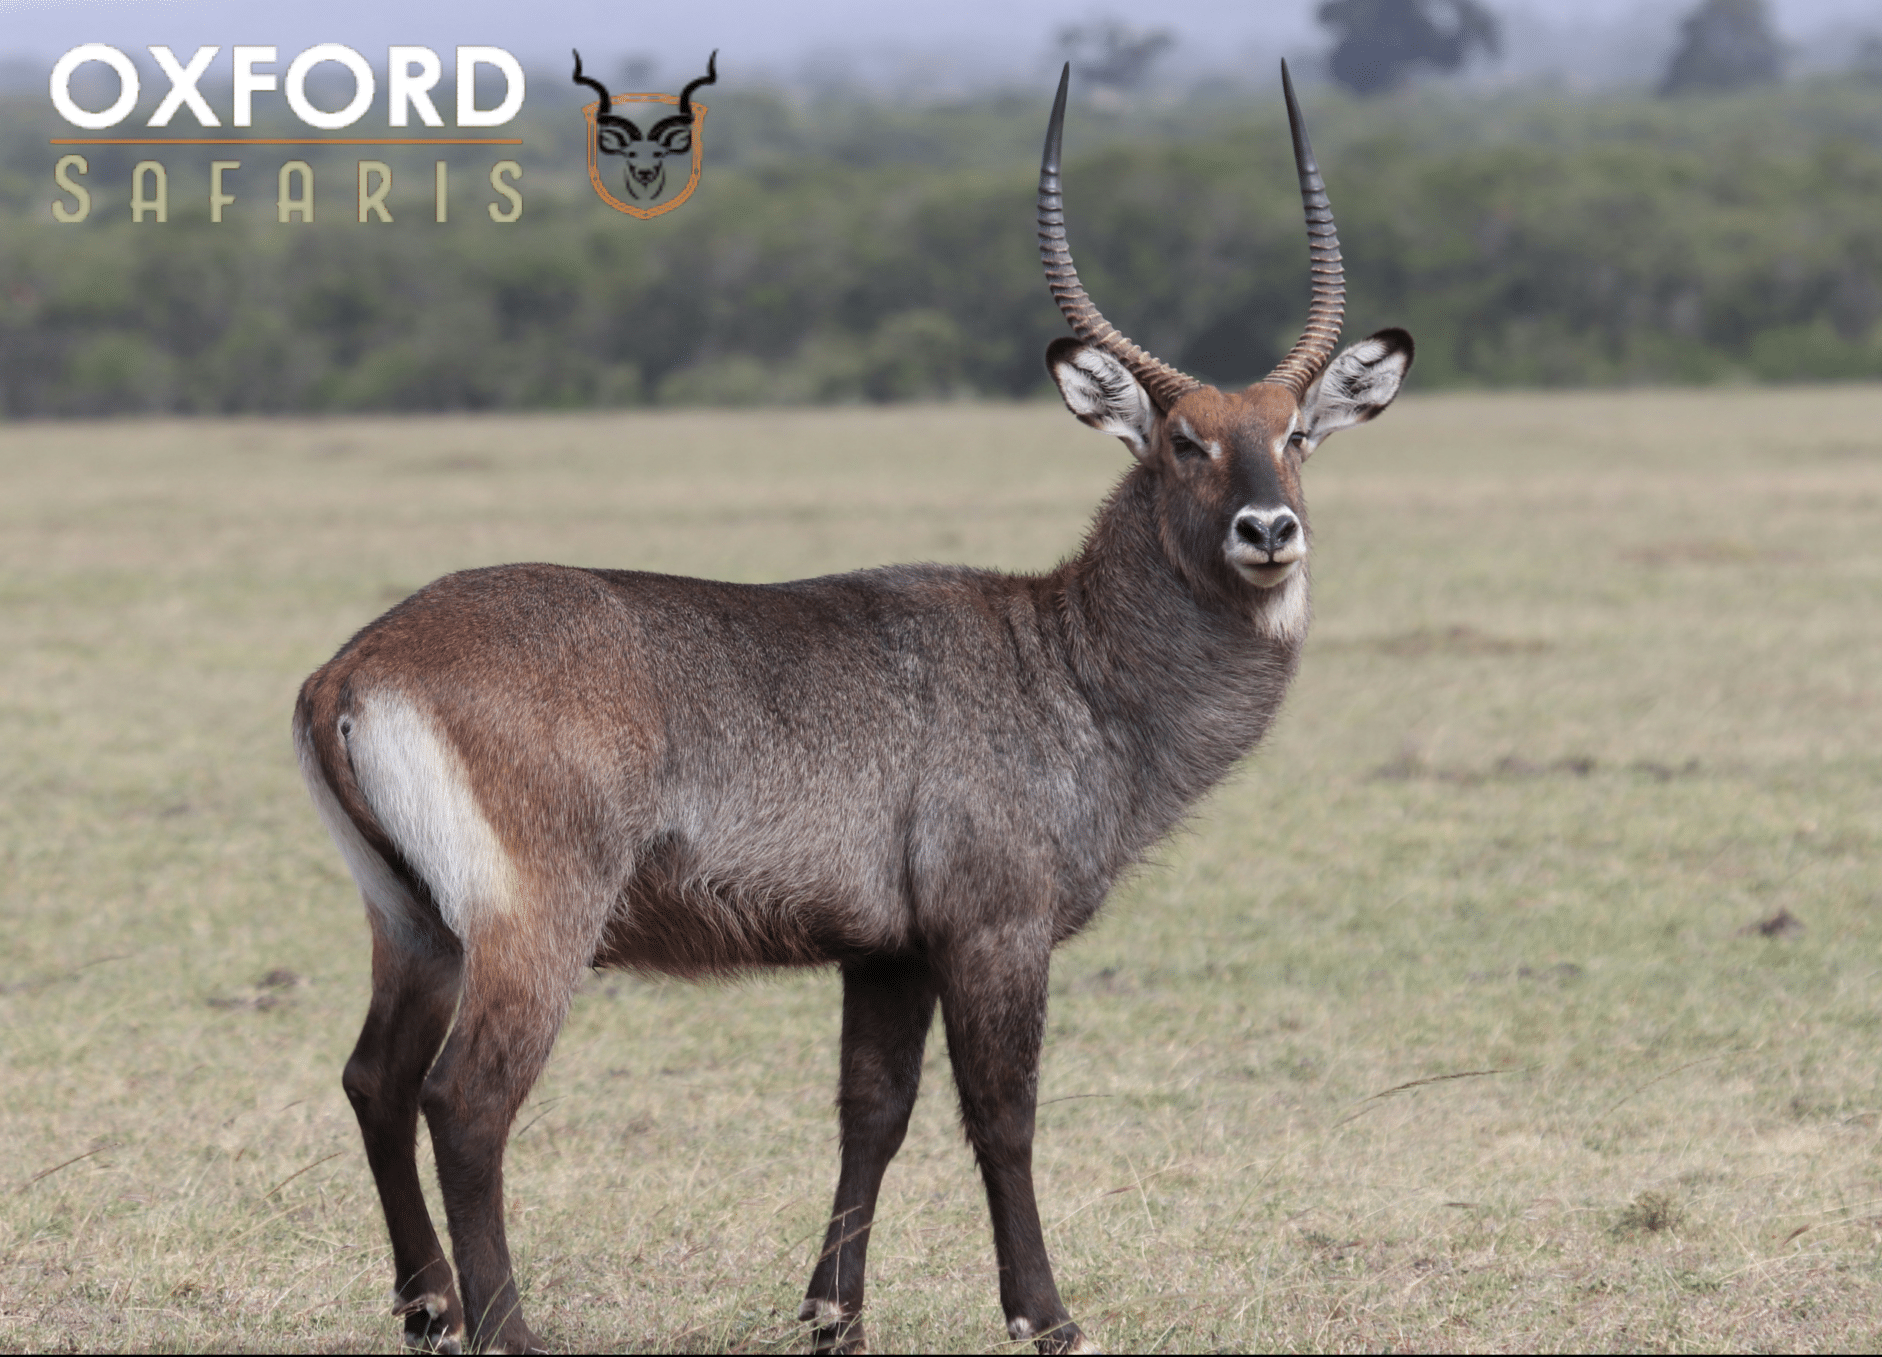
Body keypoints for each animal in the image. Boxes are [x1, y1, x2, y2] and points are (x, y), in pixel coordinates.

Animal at [293, 58, 1415, 1347]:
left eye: (1297, 436)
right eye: (1183, 440)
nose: (1267, 531)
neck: (1071, 659)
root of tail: (355, 664)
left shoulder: (887, 951)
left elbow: (871, 1110)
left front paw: (834, 1311)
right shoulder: (994, 928)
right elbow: (1004, 1115)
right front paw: (1046, 1314)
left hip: (413, 921)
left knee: (376, 1079)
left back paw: (429, 1306)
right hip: (534, 925)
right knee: (466, 1099)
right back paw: (505, 1327)